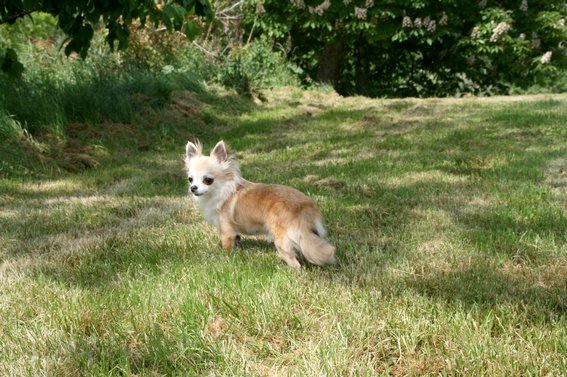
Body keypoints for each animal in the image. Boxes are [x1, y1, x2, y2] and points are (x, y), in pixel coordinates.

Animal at [185, 140, 338, 268]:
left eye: (208, 180)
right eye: (190, 179)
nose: (193, 188)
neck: (223, 190)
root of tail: (304, 207)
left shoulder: (226, 229)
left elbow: (227, 244)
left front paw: (226, 257)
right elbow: (236, 238)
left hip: (281, 240)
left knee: (294, 262)